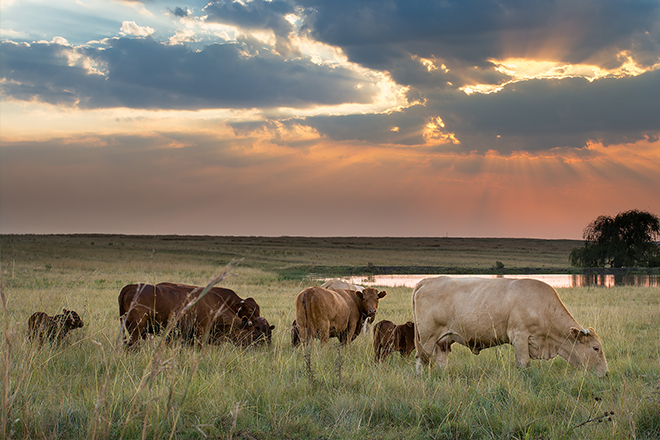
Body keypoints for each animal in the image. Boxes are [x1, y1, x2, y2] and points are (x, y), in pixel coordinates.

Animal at [412, 276, 608, 376]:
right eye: (595, 348)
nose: (606, 373)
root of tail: (425, 281)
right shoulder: (520, 335)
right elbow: (524, 363)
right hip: (427, 337)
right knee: (421, 359)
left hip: (443, 340)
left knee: (440, 360)